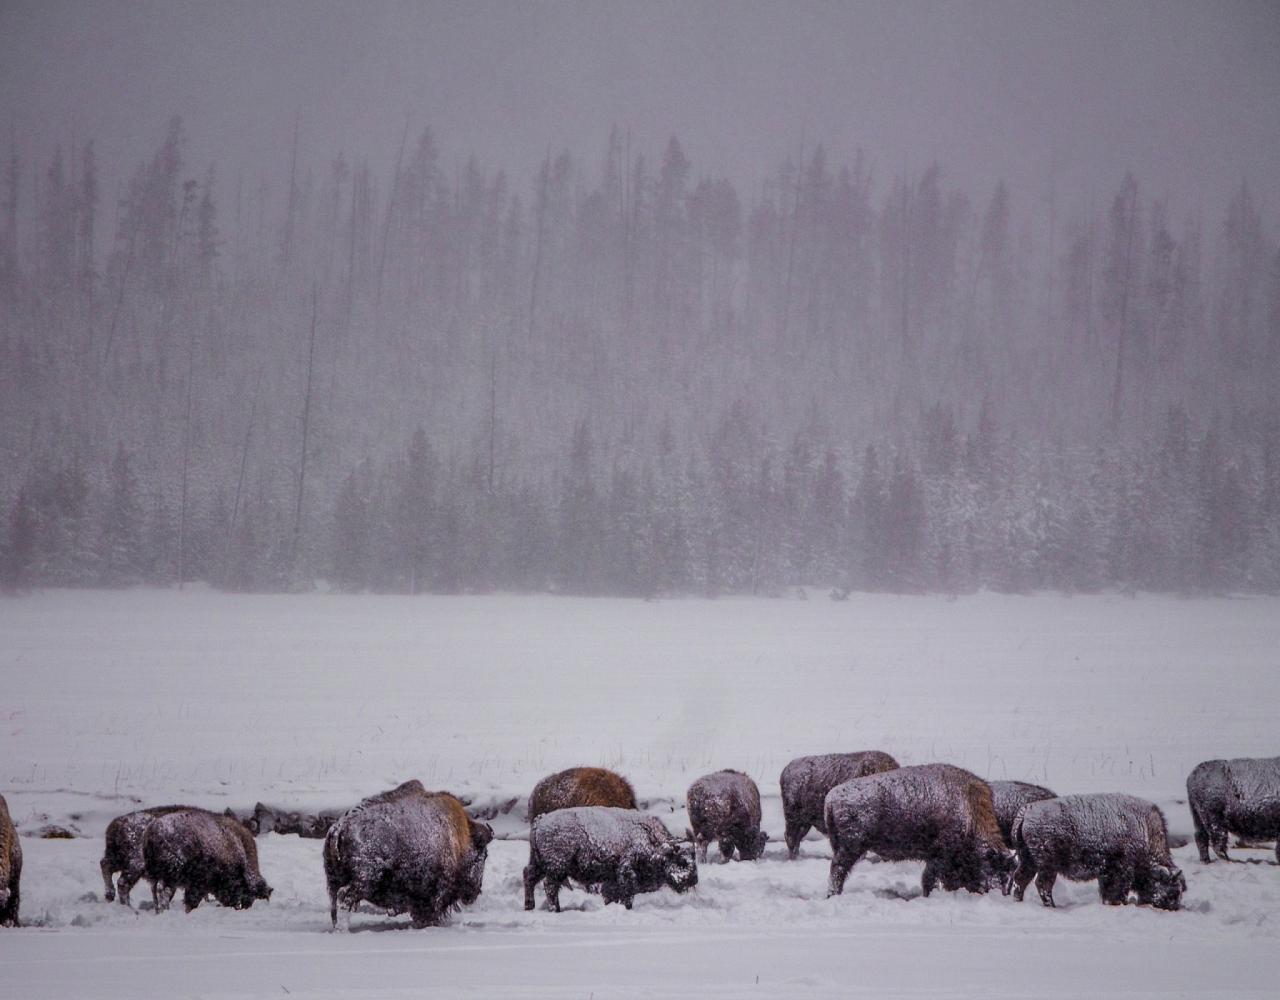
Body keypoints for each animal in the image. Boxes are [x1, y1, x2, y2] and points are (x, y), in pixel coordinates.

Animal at [142, 804, 272, 911]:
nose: (239, 906)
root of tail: (152, 831)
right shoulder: (198, 884)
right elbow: (192, 900)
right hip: (170, 877)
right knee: (163, 892)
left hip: (157, 876)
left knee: (156, 891)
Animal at [320, 778, 494, 927]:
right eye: (484, 855)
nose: (475, 892)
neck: (460, 839)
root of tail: (339, 828)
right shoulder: (437, 891)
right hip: (364, 880)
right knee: (345, 898)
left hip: (333, 880)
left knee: (335, 905)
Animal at [522, 804, 701, 911]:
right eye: (681, 860)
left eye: (694, 857)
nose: (693, 879)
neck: (648, 838)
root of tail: (540, 820)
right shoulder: (626, 871)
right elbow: (627, 894)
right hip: (556, 867)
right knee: (550, 885)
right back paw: (555, 909)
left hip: (538, 862)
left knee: (529, 876)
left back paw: (530, 906)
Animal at [824, 763, 1013, 891]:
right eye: (994, 868)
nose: (995, 891)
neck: (970, 811)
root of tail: (831, 797)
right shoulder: (939, 855)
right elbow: (930, 878)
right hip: (851, 847)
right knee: (838, 869)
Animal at [1003, 793, 1182, 906]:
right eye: (1172, 891)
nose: (1173, 906)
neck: (1144, 830)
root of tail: (1027, 811)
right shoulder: (1121, 871)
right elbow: (1117, 890)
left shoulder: (1106, 873)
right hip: (1048, 865)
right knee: (1042, 884)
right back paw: (1052, 906)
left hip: (1029, 860)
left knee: (1021, 879)